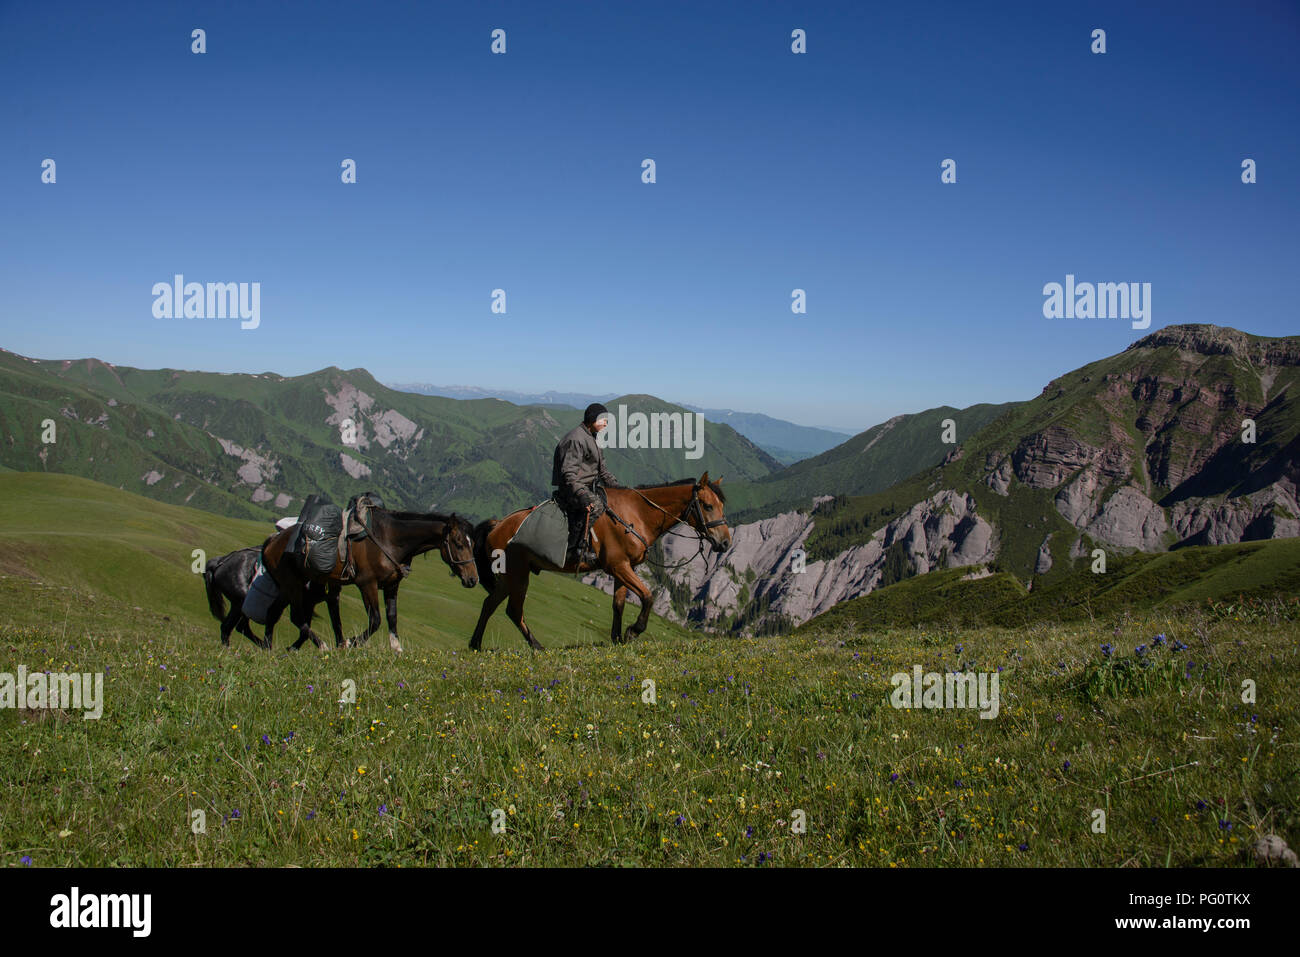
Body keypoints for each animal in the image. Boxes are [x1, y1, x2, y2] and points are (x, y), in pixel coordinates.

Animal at [258, 504, 478, 655]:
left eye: (472, 543)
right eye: (458, 543)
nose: (473, 579)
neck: (390, 539)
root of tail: (272, 541)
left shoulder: (392, 585)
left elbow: (392, 617)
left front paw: (396, 648)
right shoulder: (367, 584)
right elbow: (376, 620)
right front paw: (352, 643)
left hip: (288, 587)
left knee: (273, 612)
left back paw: (270, 648)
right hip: (293, 585)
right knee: (296, 616)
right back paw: (322, 645)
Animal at [470, 470, 738, 650]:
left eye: (721, 505)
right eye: (707, 506)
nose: (725, 543)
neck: (636, 515)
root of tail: (498, 525)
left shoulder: (625, 569)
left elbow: (618, 604)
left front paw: (617, 638)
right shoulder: (618, 567)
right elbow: (647, 597)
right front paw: (633, 632)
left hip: (509, 577)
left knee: (489, 604)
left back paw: (476, 644)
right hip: (518, 576)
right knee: (513, 610)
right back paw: (536, 646)